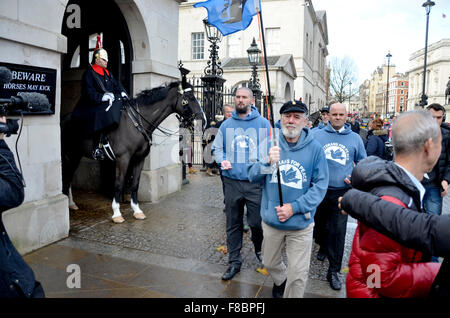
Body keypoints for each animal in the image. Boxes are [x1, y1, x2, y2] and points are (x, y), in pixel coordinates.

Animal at [60, 80, 205, 222]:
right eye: (190, 98)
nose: (203, 121)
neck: (137, 124)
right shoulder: (123, 159)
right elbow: (119, 184)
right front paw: (117, 213)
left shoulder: (139, 158)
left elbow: (135, 184)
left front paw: (137, 210)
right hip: (68, 155)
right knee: (66, 177)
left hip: (76, 155)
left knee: (69, 177)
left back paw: (71, 204)